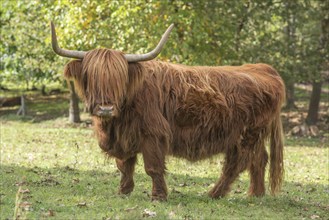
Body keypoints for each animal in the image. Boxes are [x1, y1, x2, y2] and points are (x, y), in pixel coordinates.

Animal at [51, 22, 284, 201]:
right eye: (91, 77)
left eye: (120, 79)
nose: (106, 108)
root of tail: (264, 68)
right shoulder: (125, 136)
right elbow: (124, 165)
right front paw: (123, 191)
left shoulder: (153, 134)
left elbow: (152, 167)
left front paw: (158, 197)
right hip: (254, 136)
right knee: (259, 159)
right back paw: (255, 194)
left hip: (245, 135)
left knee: (236, 164)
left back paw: (214, 194)